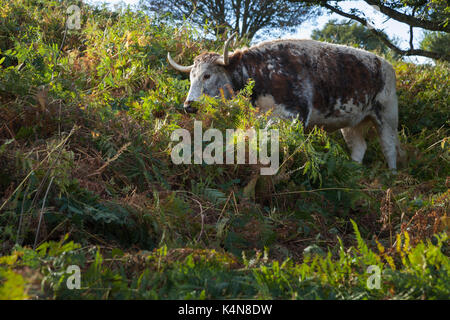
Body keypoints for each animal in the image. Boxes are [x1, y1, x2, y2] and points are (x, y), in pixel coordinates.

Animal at [168, 33, 404, 170]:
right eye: (191, 77)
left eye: (207, 75)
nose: (189, 106)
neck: (263, 72)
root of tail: (385, 64)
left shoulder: (295, 115)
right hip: (351, 123)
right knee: (359, 147)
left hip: (387, 116)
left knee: (389, 147)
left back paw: (392, 174)